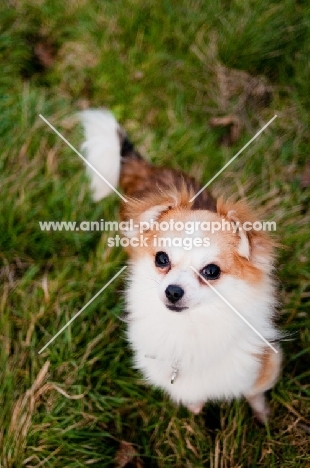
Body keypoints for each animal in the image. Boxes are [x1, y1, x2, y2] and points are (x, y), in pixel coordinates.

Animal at [79, 110, 280, 424]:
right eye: (161, 259)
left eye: (211, 271)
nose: (173, 291)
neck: (191, 327)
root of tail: (151, 171)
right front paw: (196, 408)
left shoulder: (263, 363)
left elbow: (254, 394)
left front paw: (263, 420)